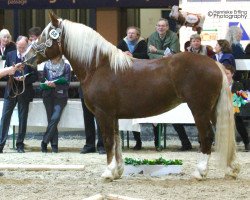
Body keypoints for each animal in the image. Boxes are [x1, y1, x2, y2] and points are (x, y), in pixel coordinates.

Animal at [25, 12, 240, 181]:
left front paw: (108, 173)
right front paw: (117, 171)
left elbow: (108, 141)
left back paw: (200, 172)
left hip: (199, 109)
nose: (27, 57)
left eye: (45, 35)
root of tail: (214, 64)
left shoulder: (103, 114)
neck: (98, 66)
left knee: (207, 136)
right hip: (212, 110)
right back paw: (232, 169)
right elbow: (117, 142)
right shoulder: (114, 116)